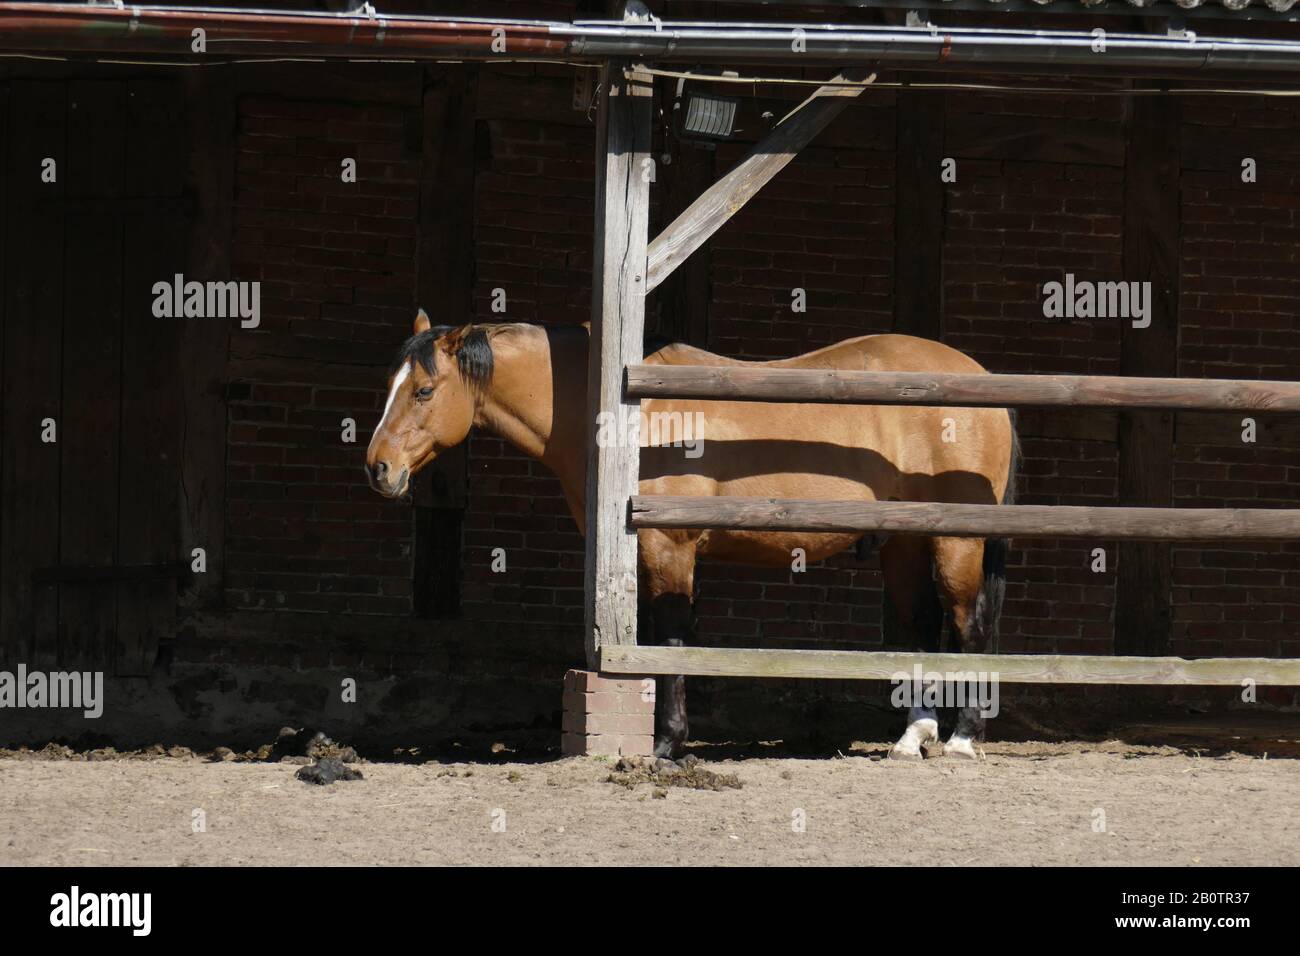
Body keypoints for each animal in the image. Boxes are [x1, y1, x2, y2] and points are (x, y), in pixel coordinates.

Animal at [366, 312, 1013, 764]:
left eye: (423, 391)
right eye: (392, 383)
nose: (378, 467)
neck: (628, 414)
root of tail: (983, 382)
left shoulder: (669, 548)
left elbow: (672, 640)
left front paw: (667, 745)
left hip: (958, 542)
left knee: (969, 625)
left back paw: (962, 738)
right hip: (905, 542)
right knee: (920, 624)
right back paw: (913, 736)